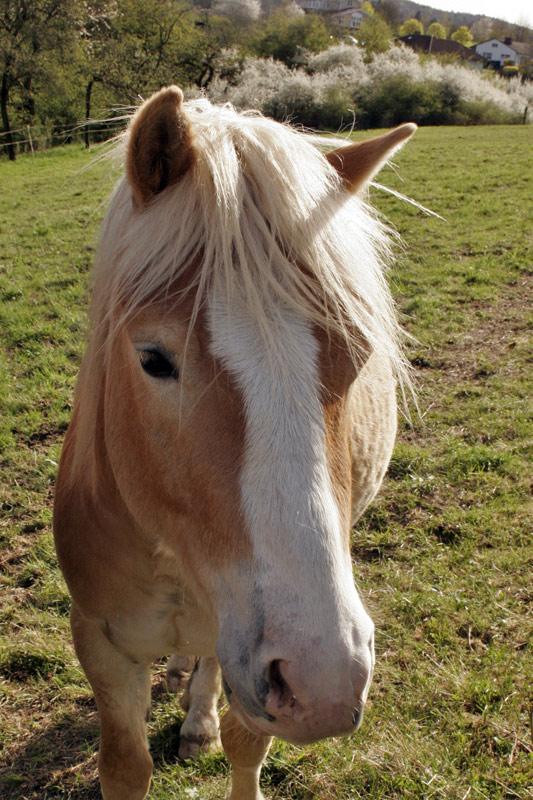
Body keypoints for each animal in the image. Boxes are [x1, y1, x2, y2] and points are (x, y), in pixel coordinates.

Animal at [54, 84, 418, 796]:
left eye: (362, 353)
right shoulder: (100, 641)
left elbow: (246, 744)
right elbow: (125, 764)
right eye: (153, 359)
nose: (324, 681)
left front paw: (207, 724)